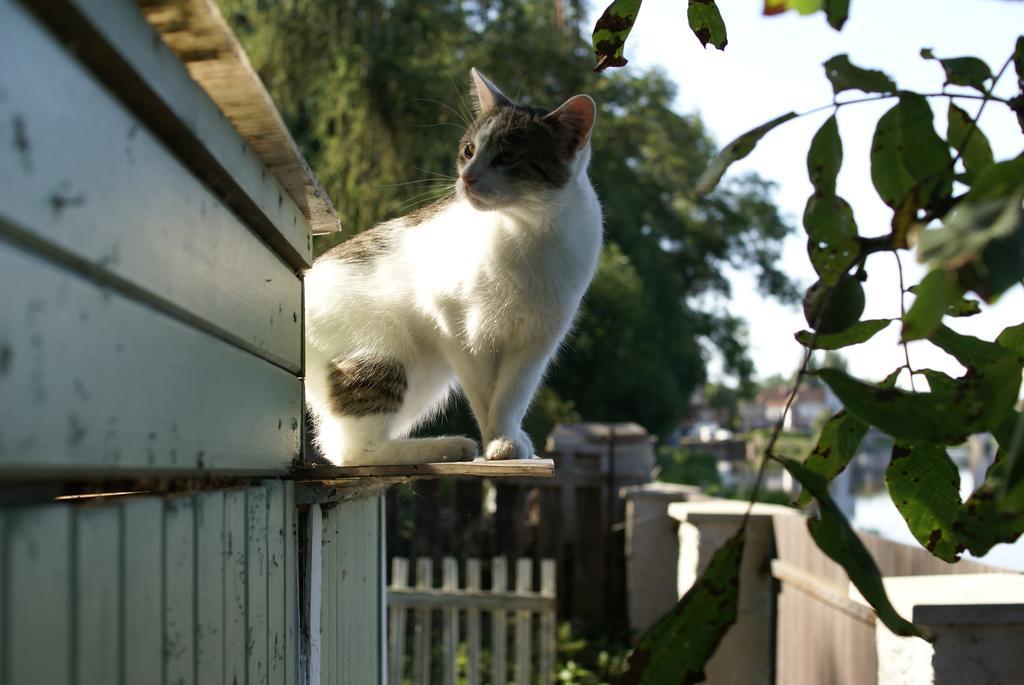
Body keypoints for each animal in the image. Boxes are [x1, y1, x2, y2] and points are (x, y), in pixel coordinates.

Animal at [301, 69, 598, 464]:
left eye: (508, 157)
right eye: (469, 150)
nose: (466, 177)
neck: (528, 229)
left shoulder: (540, 336)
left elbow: (513, 392)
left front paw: (506, 439)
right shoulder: (453, 324)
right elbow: (484, 392)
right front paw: (496, 441)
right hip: (383, 348)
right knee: (354, 452)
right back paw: (446, 446)